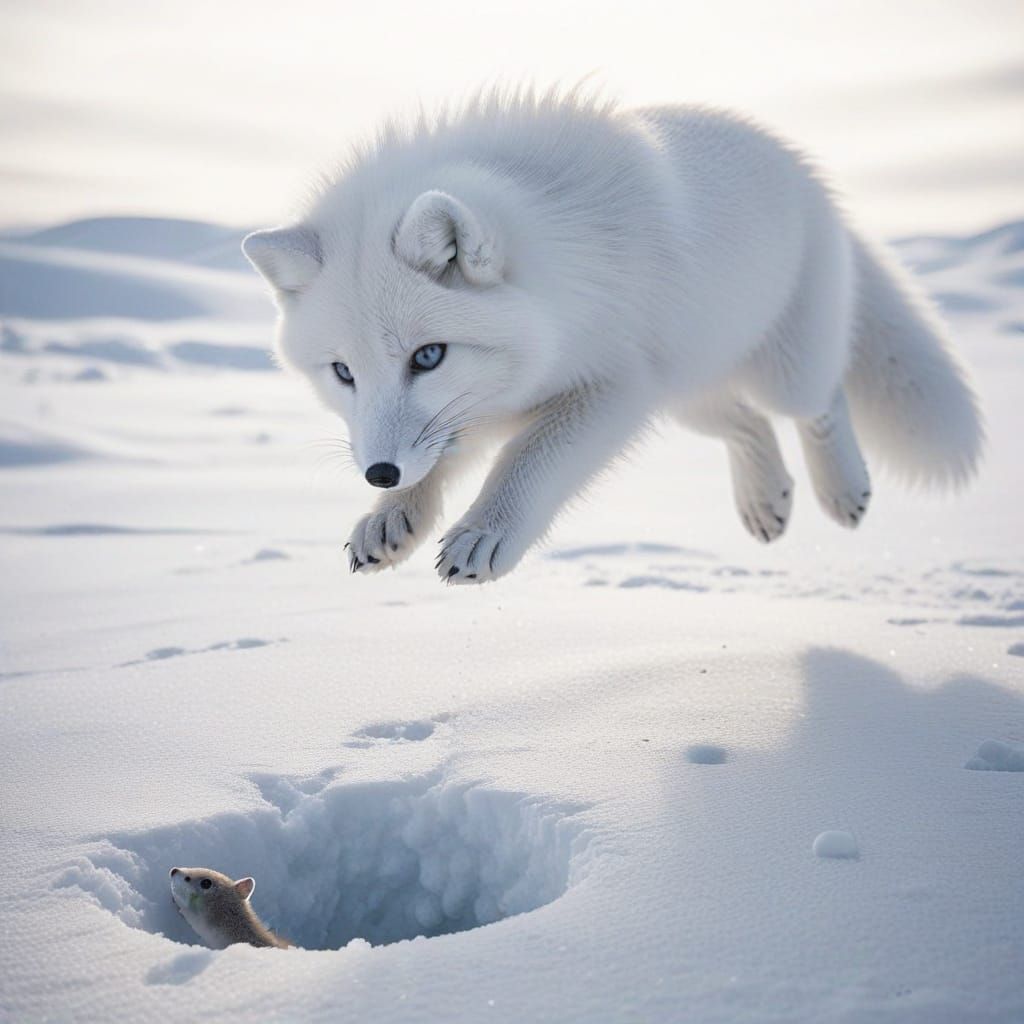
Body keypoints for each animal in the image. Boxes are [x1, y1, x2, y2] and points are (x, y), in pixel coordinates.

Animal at [243, 87, 983, 585]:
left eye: (428, 356)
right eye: (343, 372)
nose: (377, 471)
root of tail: (805, 171)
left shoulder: (615, 388)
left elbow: (529, 461)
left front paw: (485, 532)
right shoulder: (513, 404)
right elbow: (444, 454)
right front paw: (392, 515)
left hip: (773, 372)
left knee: (820, 402)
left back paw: (843, 490)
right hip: (685, 394)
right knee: (747, 426)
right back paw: (765, 500)